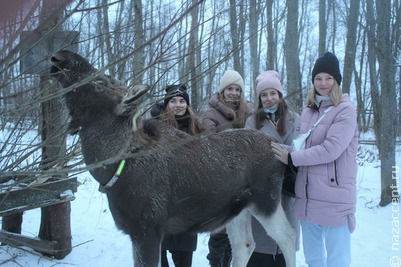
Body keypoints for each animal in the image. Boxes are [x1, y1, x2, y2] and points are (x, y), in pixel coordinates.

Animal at [49, 50, 294, 267]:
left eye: (100, 83)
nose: (61, 56)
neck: (110, 168)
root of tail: (277, 145)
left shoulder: (147, 228)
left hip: (266, 201)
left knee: (288, 238)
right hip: (239, 209)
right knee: (245, 245)